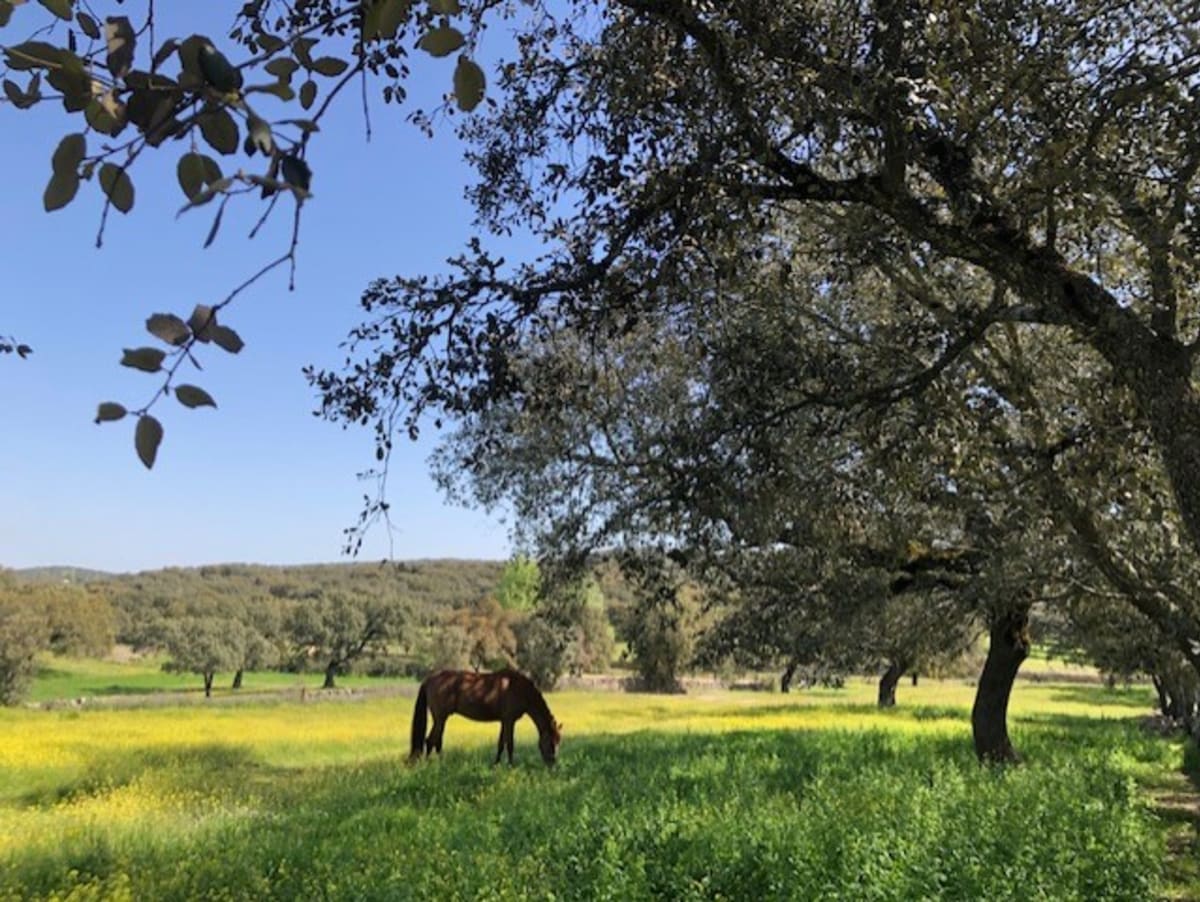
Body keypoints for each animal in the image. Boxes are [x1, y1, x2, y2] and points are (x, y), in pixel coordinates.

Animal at [409, 668, 562, 766]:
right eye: (550, 743)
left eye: (558, 742)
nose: (553, 764)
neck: (519, 688)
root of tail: (429, 679)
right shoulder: (510, 721)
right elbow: (510, 744)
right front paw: (511, 765)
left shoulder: (504, 721)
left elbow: (501, 743)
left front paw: (496, 764)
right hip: (440, 718)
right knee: (430, 740)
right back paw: (430, 765)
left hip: (441, 719)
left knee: (436, 741)